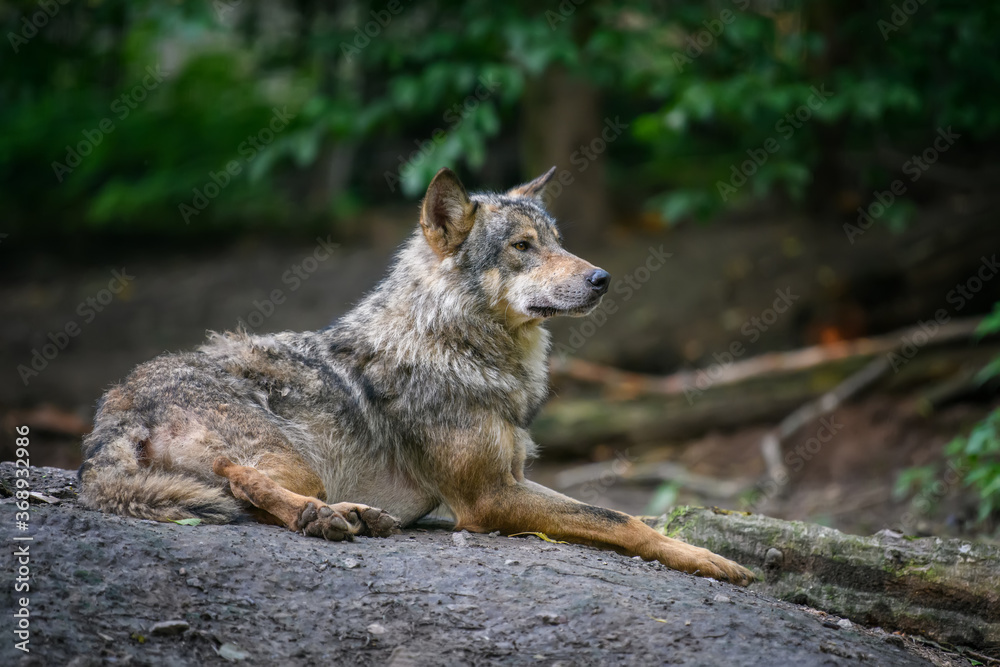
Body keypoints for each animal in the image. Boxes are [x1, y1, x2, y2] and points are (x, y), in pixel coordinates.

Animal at [79, 167, 753, 585]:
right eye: (523, 247)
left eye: (559, 241)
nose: (602, 278)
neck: (457, 344)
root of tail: (116, 404)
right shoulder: (488, 498)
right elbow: (622, 519)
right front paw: (709, 560)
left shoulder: (511, 478)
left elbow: (627, 513)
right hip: (292, 457)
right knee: (246, 484)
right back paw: (324, 518)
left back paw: (361, 516)